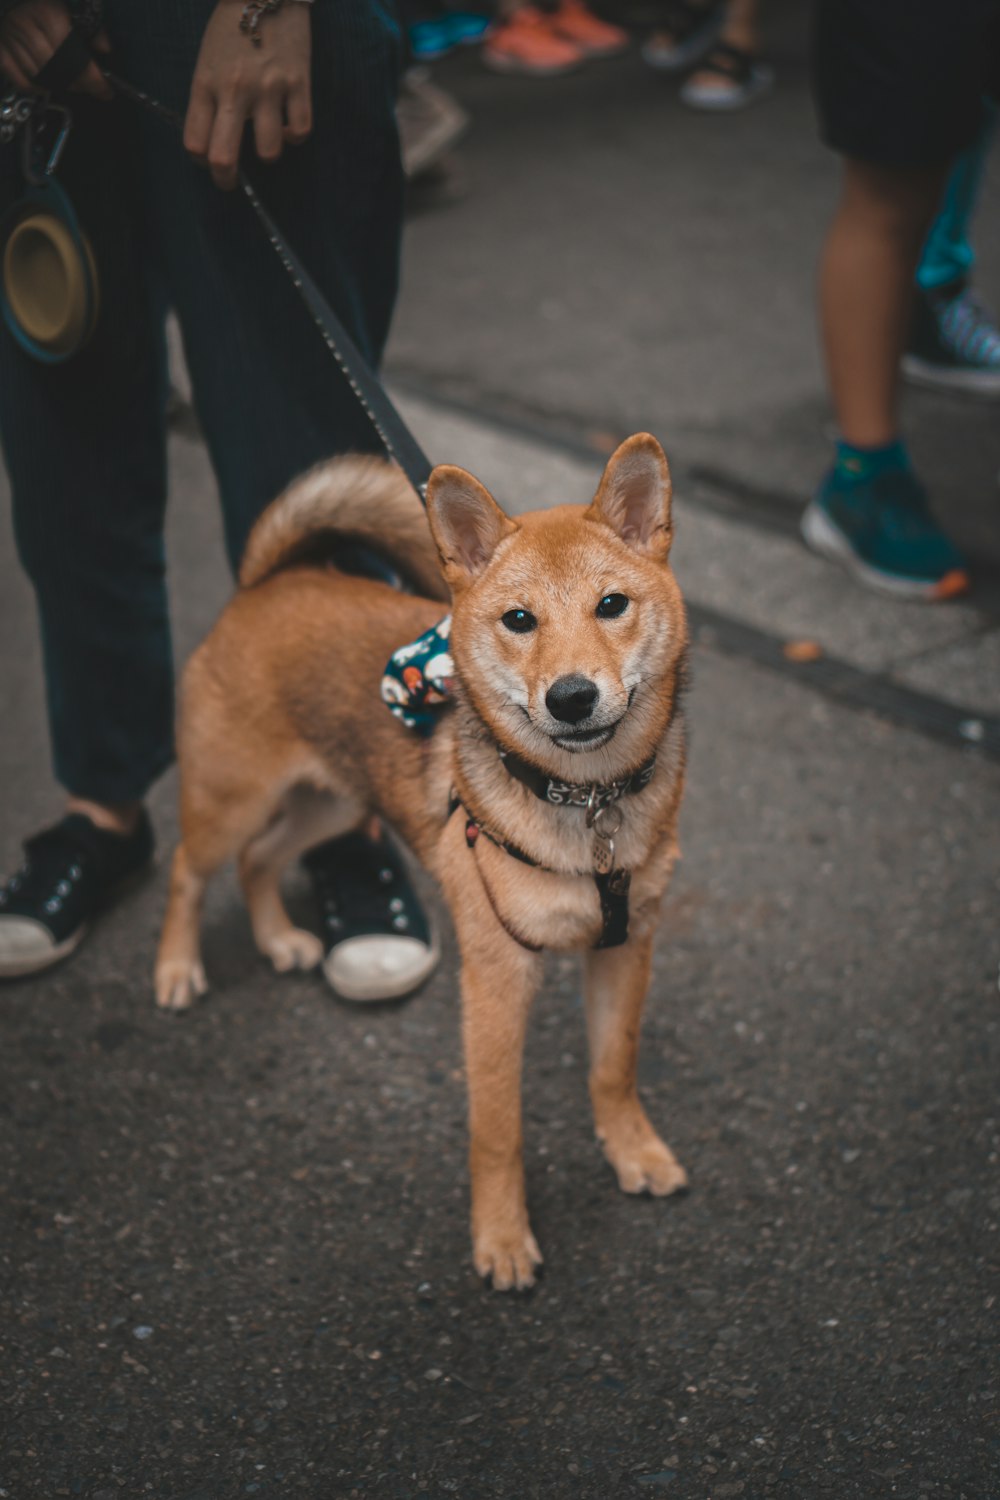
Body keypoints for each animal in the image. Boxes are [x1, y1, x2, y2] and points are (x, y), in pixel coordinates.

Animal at [156, 435, 689, 1290]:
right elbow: (498, 1131)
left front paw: (632, 1151)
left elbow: (615, 1069)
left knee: (259, 861)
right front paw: (501, 1238)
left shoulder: (625, 947)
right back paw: (176, 969)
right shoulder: (497, 982)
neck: (588, 802)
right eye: (518, 619)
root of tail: (269, 581)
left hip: (336, 802)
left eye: (612, 605)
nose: (572, 697)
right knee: (188, 869)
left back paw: (278, 938)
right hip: (228, 799)